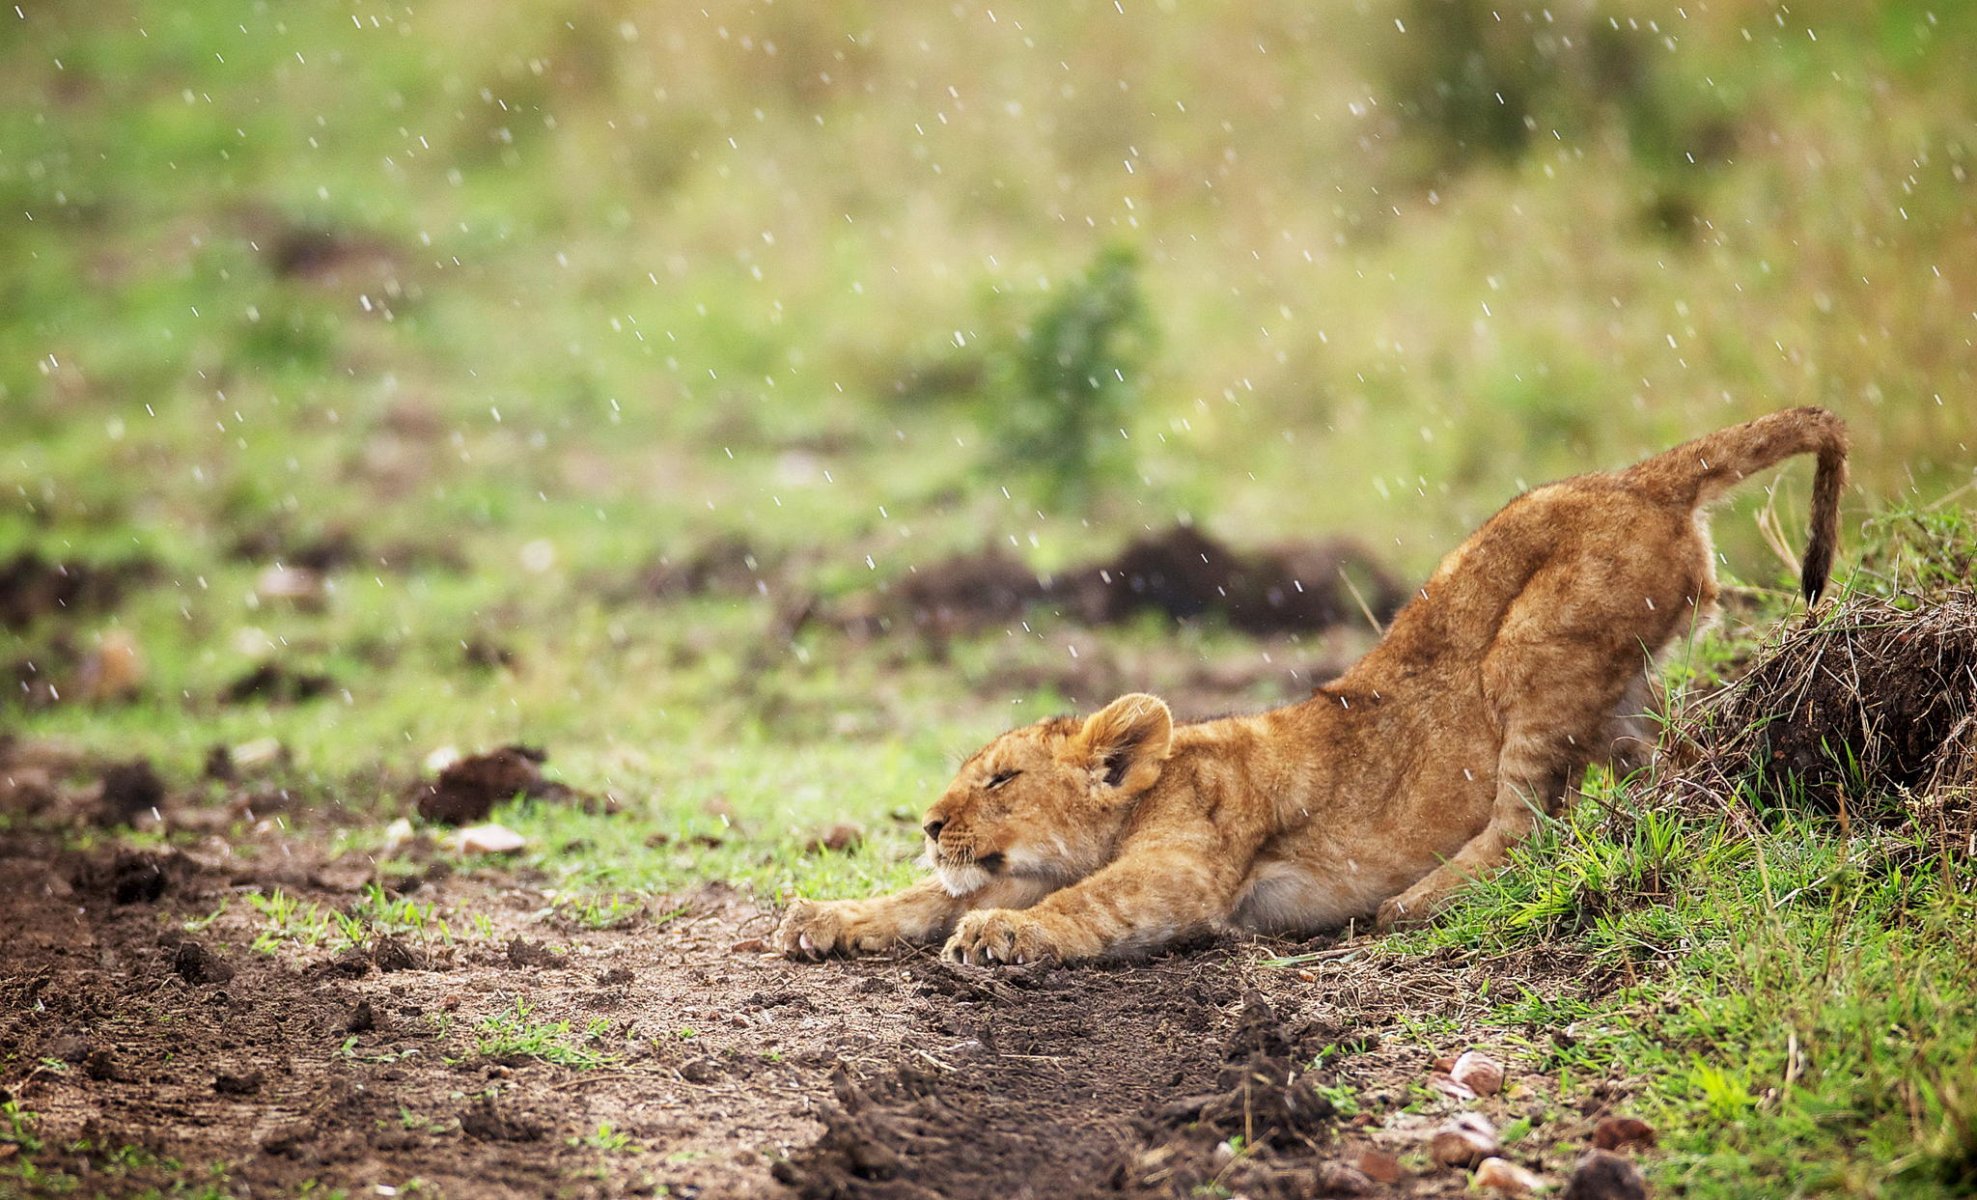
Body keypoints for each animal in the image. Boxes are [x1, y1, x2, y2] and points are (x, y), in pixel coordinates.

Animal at [775, 407, 1848, 964]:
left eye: (998, 781)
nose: (926, 823)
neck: (1147, 794)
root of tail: (1639, 478)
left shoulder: (1187, 870)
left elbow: (1079, 906)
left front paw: (999, 932)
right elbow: (922, 899)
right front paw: (828, 917)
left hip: (1534, 648)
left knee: (1526, 817)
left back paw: (1414, 905)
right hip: (1623, 689)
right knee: (1660, 769)